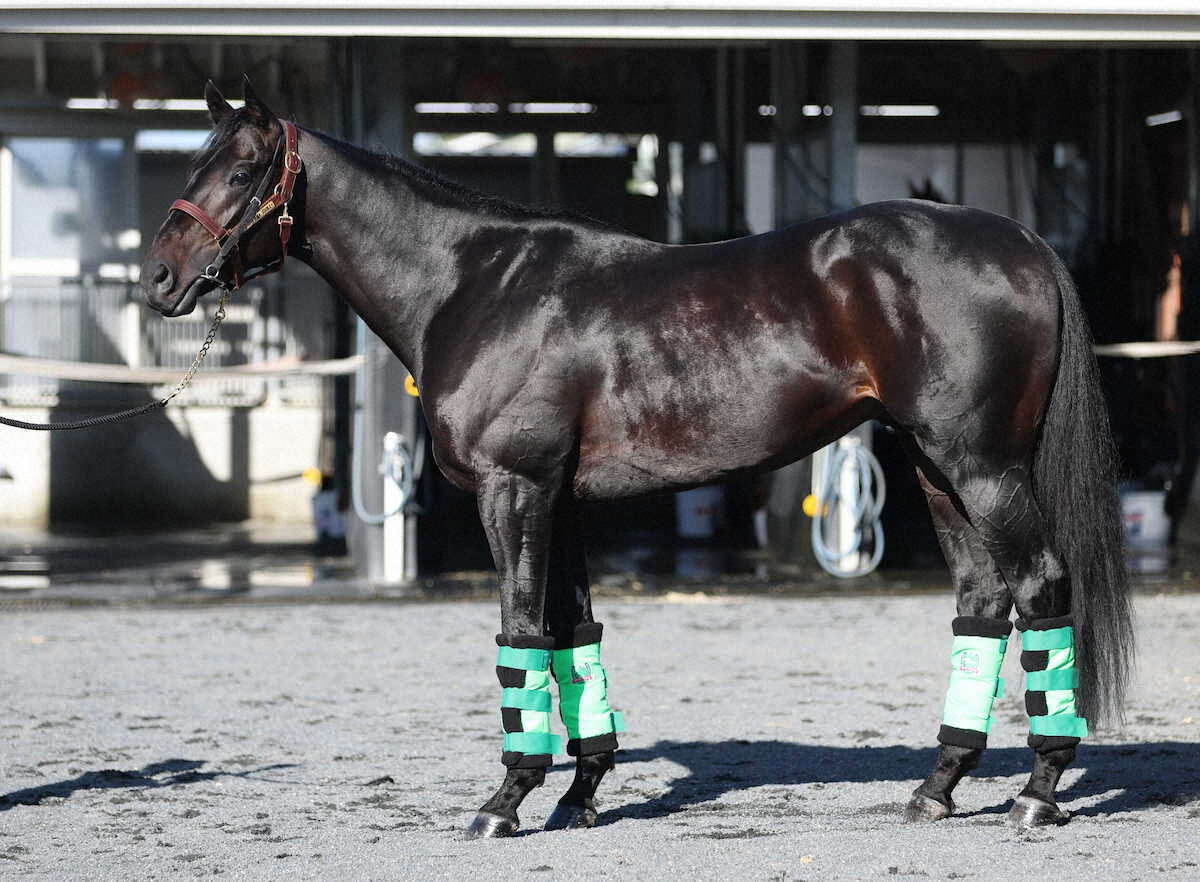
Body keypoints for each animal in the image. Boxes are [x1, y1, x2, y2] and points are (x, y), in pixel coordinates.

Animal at [141, 79, 1133, 837]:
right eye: (192, 164)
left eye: (240, 169)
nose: (159, 279)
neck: (474, 284)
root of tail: (1023, 241)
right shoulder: (561, 502)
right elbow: (574, 636)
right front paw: (578, 796)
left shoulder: (514, 492)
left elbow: (521, 638)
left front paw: (504, 803)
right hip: (934, 467)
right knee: (983, 604)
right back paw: (937, 787)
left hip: (981, 465)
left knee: (1042, 587)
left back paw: (1038, 792)